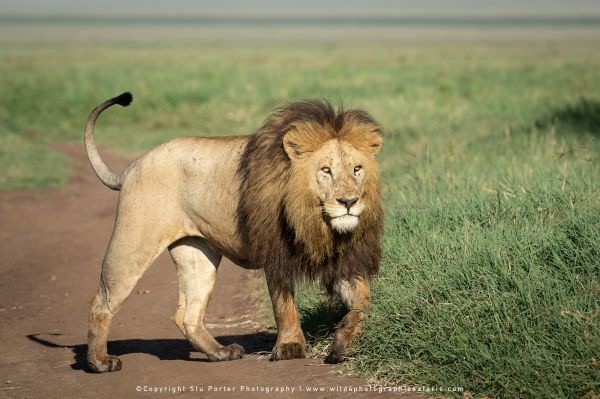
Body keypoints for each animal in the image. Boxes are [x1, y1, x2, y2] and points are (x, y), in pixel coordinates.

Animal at [83, 92, 384, 374]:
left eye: (357, 169)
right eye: (326, 170)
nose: (349, 202)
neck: (317, 223)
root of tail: (132, 167)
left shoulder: (346, 260)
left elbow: (364, 302)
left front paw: (343, 342)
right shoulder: (275, 252)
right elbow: (283, 306)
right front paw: (290, 347)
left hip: (197, 254)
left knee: (187, 316)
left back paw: (220, 352)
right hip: (133, 243)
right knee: (101, 303)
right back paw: (99, 362)